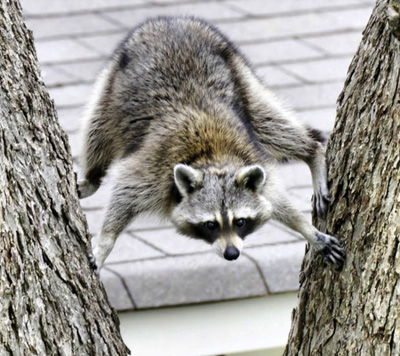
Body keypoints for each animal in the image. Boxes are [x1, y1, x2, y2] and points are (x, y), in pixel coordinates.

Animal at [78, 15, 344, 268]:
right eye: (210, 225)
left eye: (240, 221)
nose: (232, 254)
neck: (213, 158)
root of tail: (172, 21)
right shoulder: (150, 169)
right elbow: (123, 195)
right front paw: (105, 243)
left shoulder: (252, 161)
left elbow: (276, 201)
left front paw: (307, 230)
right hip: (111, 88)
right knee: (96, 133)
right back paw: (92, 177)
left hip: (240, 77)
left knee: (271, 125)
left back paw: (312, 149)